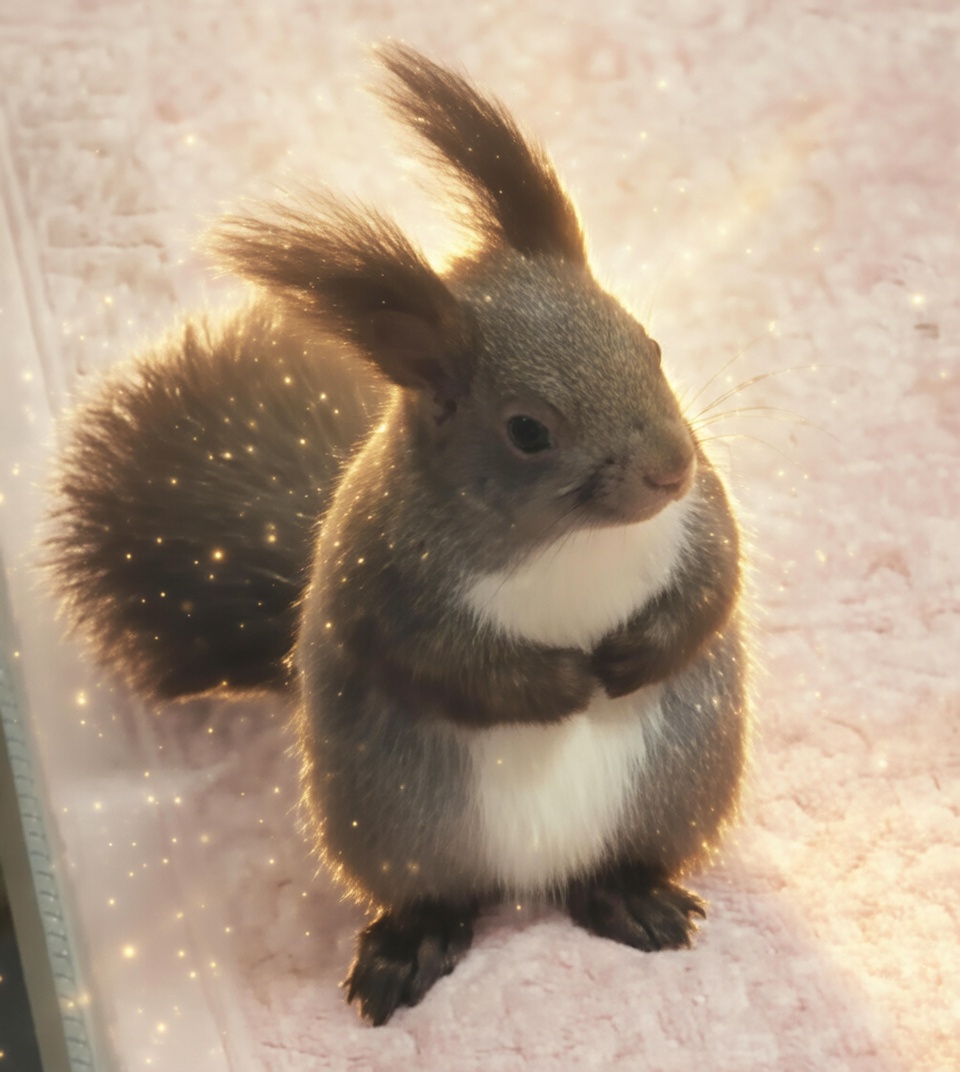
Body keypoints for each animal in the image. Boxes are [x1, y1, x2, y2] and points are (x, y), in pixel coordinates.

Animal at [46, 43, 748, 1026]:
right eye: (527, 430)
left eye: (649, 345)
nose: (669, 470)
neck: (566, 540)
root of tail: (535, 884)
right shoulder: (385, 571)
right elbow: (443, 661)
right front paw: (565, 681)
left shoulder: (700, 519)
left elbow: (715, 584)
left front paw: (634, 654)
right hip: (397, 825)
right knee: (442, 896)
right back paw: (411, 947)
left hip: (676, 788)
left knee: (609, 870)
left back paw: (630, 897)